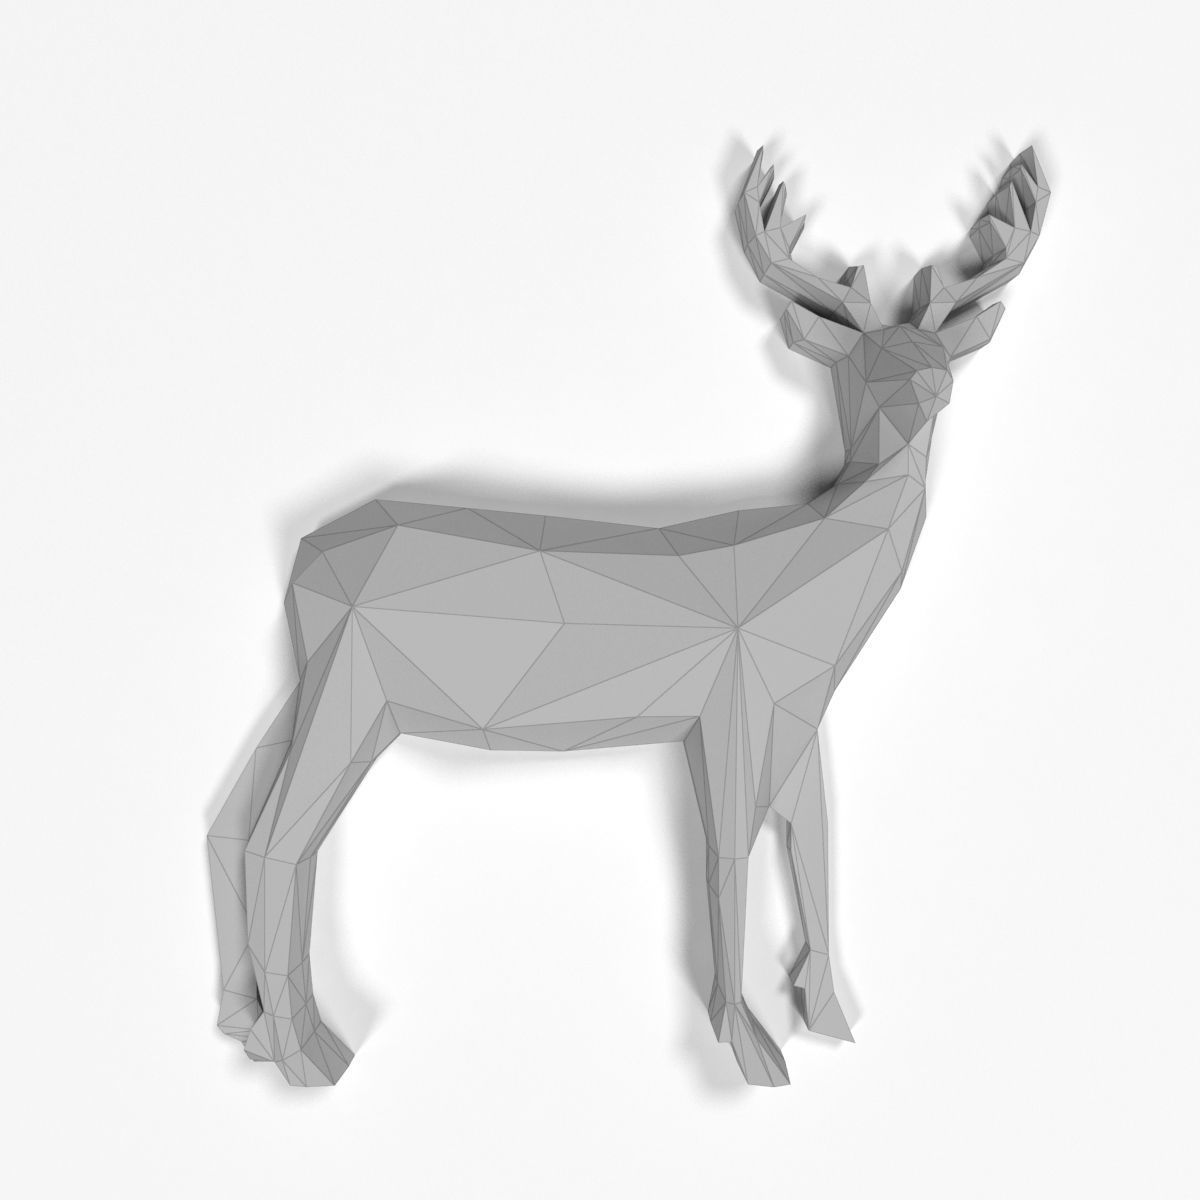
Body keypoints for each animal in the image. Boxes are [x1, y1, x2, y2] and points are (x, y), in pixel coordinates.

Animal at [208, 142, 1049, 1087]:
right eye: (864, 362)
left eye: (940, 347)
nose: (933, 386)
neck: (818, 586)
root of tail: (304, 558)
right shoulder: (727, 713)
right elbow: (729, 858)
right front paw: (750, 1046)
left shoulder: (800, 725)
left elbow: (819, 845)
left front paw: (828, 1014)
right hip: (355, 700)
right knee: (277, 842)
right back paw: (310, 1054)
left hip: (310, 682)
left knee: (230, 821)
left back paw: (249, 1029)